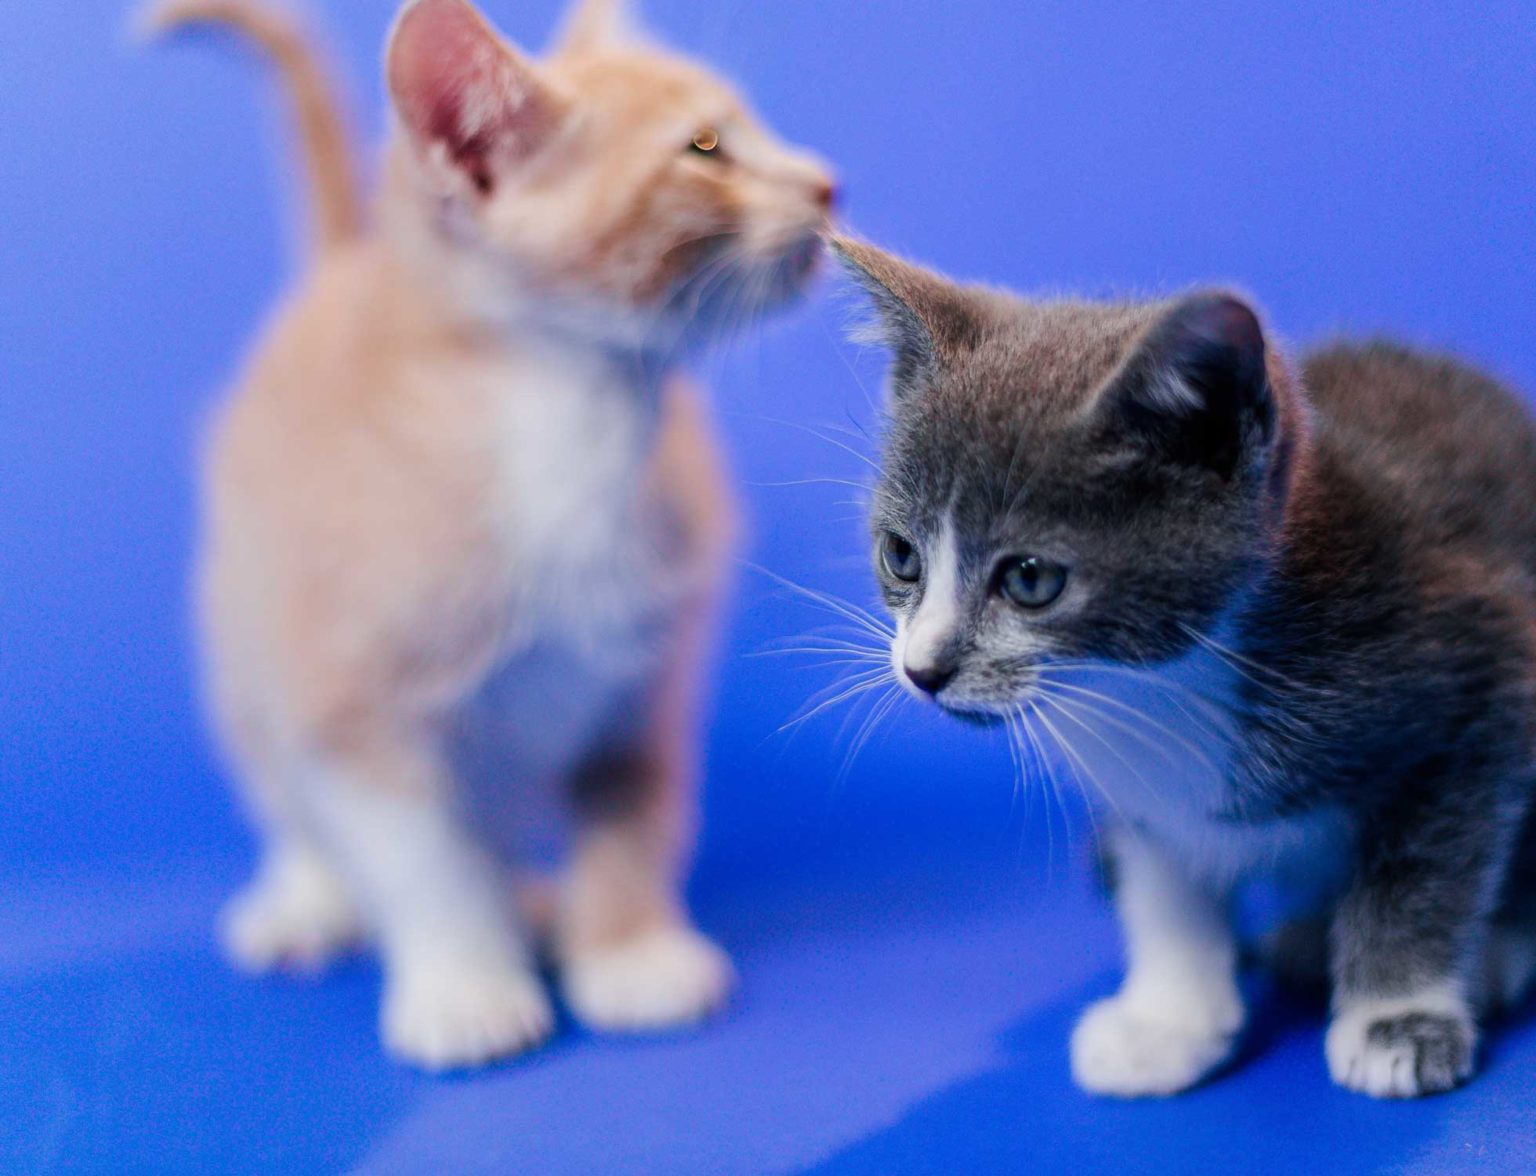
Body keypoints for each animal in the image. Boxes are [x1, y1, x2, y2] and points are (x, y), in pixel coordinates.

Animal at [149, 0, 835, 1074]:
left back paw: (534, 902)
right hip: (244, 629)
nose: (825, 179)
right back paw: (313, 897)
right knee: (283, 783)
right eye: (705, 148)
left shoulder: (643, 682)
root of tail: (338, 271)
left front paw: (628, 953)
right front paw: (465, 986)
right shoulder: (352, 700)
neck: (577, 424)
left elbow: (634, 816)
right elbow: (421, 858)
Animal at [835, 239, 1536, 1105]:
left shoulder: (1480, 671)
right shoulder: (1137, 791)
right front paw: (1168, 1021)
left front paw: (1397, 1017)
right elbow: (1163, 881)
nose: (923, 667)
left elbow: (1424, 871)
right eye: (901, 557)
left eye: (1030, 579)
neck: (1159, 688)